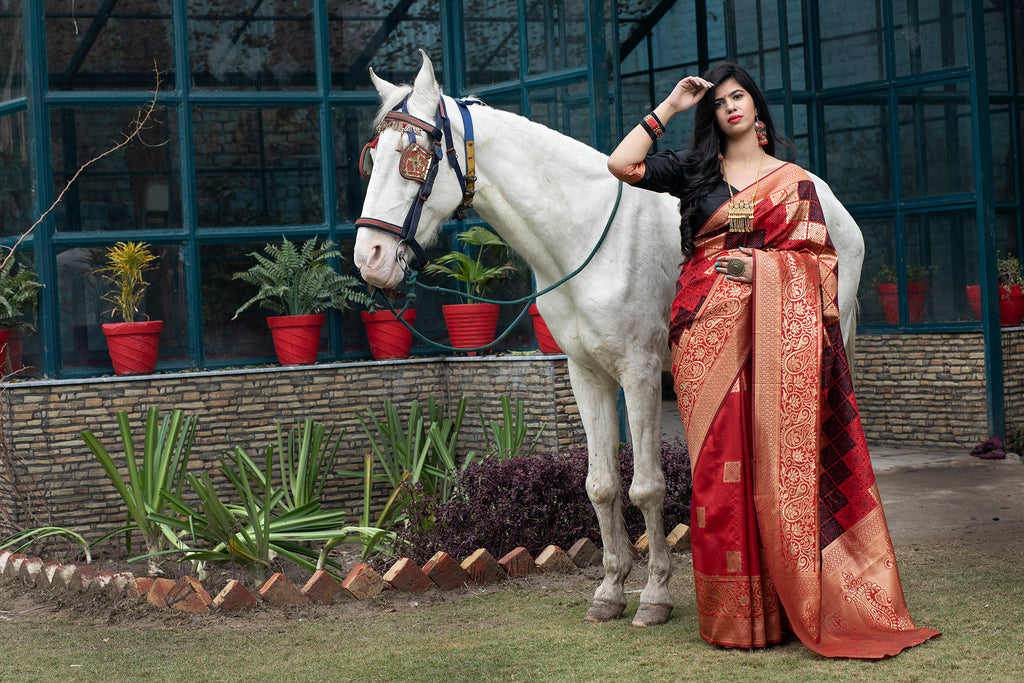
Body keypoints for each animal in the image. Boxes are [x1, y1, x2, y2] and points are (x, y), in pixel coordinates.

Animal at [354, 52, 864, 630]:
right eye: (373, 159)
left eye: (414, 157)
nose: (369, 257)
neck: (584, 232)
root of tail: (830, 203)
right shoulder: (586, 372)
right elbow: (601, 485)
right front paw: (611, 589)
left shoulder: (639, 373)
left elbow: (647, 485)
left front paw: (655, 595)